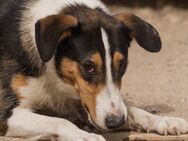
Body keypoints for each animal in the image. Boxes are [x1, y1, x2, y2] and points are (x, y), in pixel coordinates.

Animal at [0, 0, 188, 140]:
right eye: (88, 66)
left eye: (122, 65)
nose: (116, 122)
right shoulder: (5, 114)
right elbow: (59, 121)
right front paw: (85, 136)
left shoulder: (85, 104)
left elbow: (132, 109)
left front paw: (163, 120)